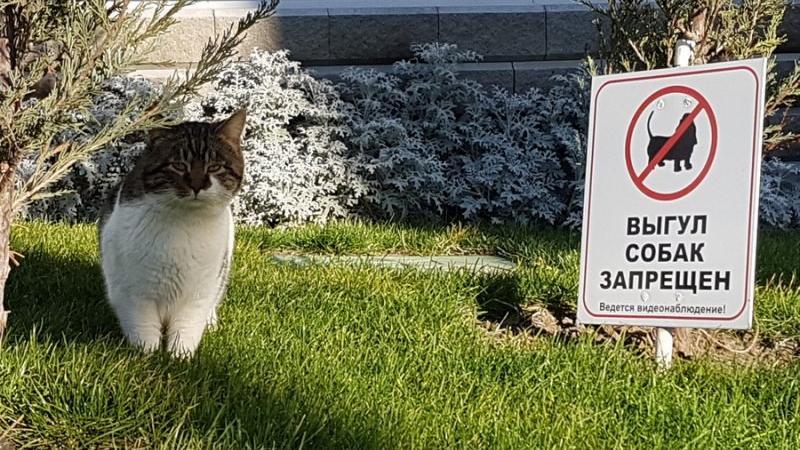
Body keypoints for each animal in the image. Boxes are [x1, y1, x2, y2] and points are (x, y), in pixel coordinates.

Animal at [101, 110, 248, 358]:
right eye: (179, 165)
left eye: (214, 167)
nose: (197, 185)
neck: (185, 223)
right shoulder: (134, 293)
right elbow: (143, 328)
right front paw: (146, 356)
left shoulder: (198, 293)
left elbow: (187, 327)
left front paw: (179, 356)